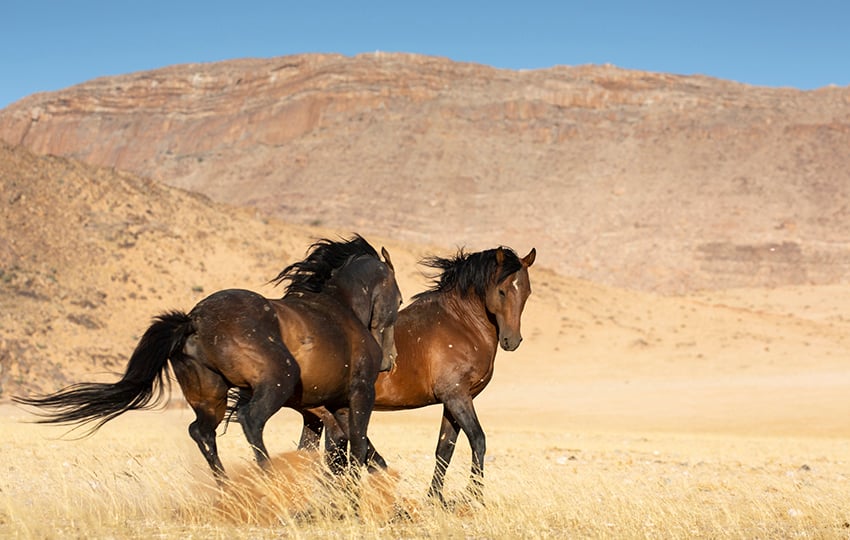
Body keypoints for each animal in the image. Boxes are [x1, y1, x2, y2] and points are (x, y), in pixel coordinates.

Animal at [14, 236, 400, 476]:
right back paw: (266, 479)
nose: (389, 361)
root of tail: (194, 320)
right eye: (397, 297)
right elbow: (357, 445)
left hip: (210, 395)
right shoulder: (357, 395)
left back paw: (227, 487)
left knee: (201, 432)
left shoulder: (321, 405)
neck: (343, 309)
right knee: (249, 420)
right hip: (276, 381)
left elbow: (338, 446)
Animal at [298, 247, 532, 504]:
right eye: (502, 291)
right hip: (329, 415)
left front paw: (435, 498)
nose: (512, 340)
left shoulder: (452, 402)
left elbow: (444, 449)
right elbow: (478, 440)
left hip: (314, 417)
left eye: (527, 292)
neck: (461, 323)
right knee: (340, 453)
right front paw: (474, 496)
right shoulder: (457, 396)